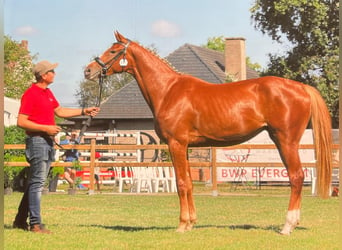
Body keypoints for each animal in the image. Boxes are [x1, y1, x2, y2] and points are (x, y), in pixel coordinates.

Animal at [84, 31, 332, 234]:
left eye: (113, 50)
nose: (88, 70)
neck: (168, 91)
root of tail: (301, 87)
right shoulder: (184, 147)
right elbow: (189, 182)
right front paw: (191, 222)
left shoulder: (176, 144)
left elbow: (181, 183)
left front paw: (182, 225)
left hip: (286, 140)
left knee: (297, 177)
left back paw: (287, 226)